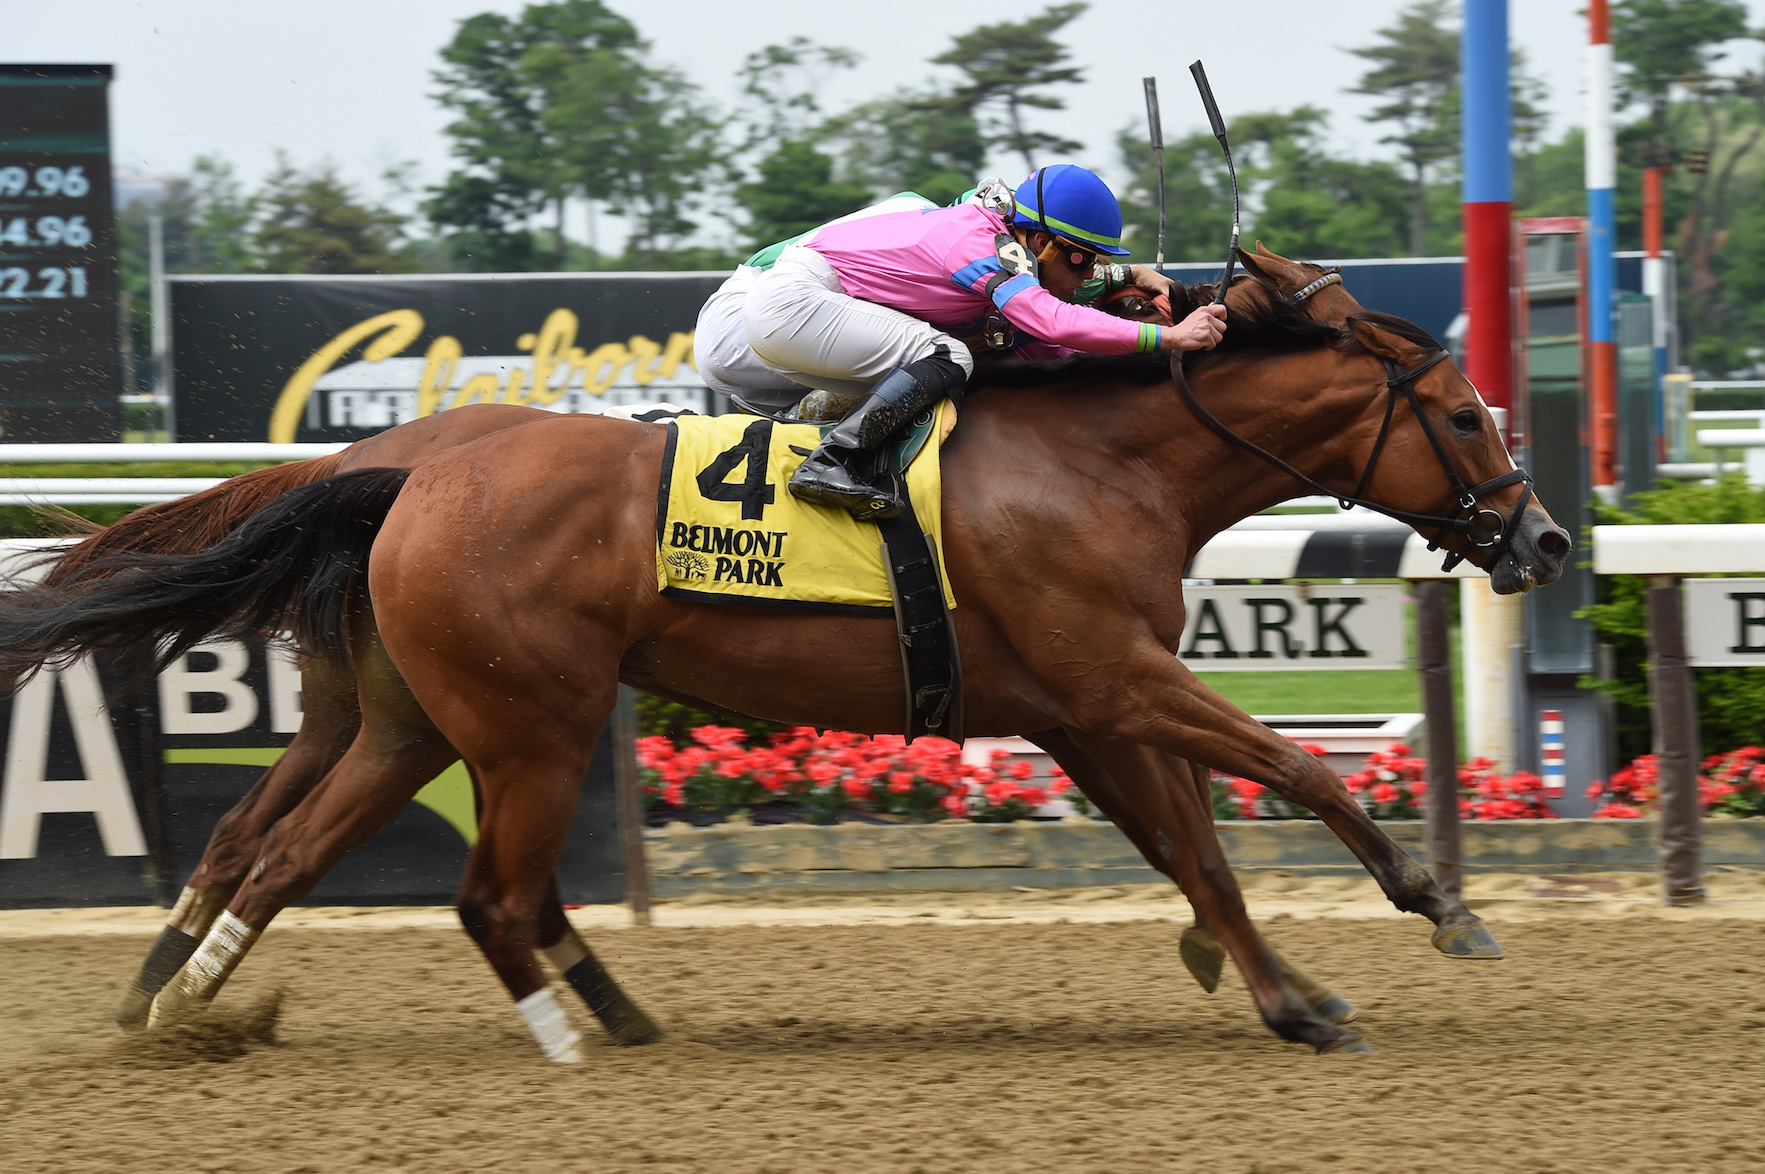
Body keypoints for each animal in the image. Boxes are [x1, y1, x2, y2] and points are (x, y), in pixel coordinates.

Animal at [0, 247, 1574, 1052]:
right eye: (1465, 415)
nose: (1548, 539)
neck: (1103, 463)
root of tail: (401, 474)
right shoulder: (1116, 680)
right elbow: (1297, 781)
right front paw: (1431, 911)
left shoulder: (1079, 706)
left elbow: (1194, 848)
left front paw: (1273, 982)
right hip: (525, 721)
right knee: (482, 891)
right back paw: (566, 1035)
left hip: (407, 719)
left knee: (274, 852)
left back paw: (193, 1003)